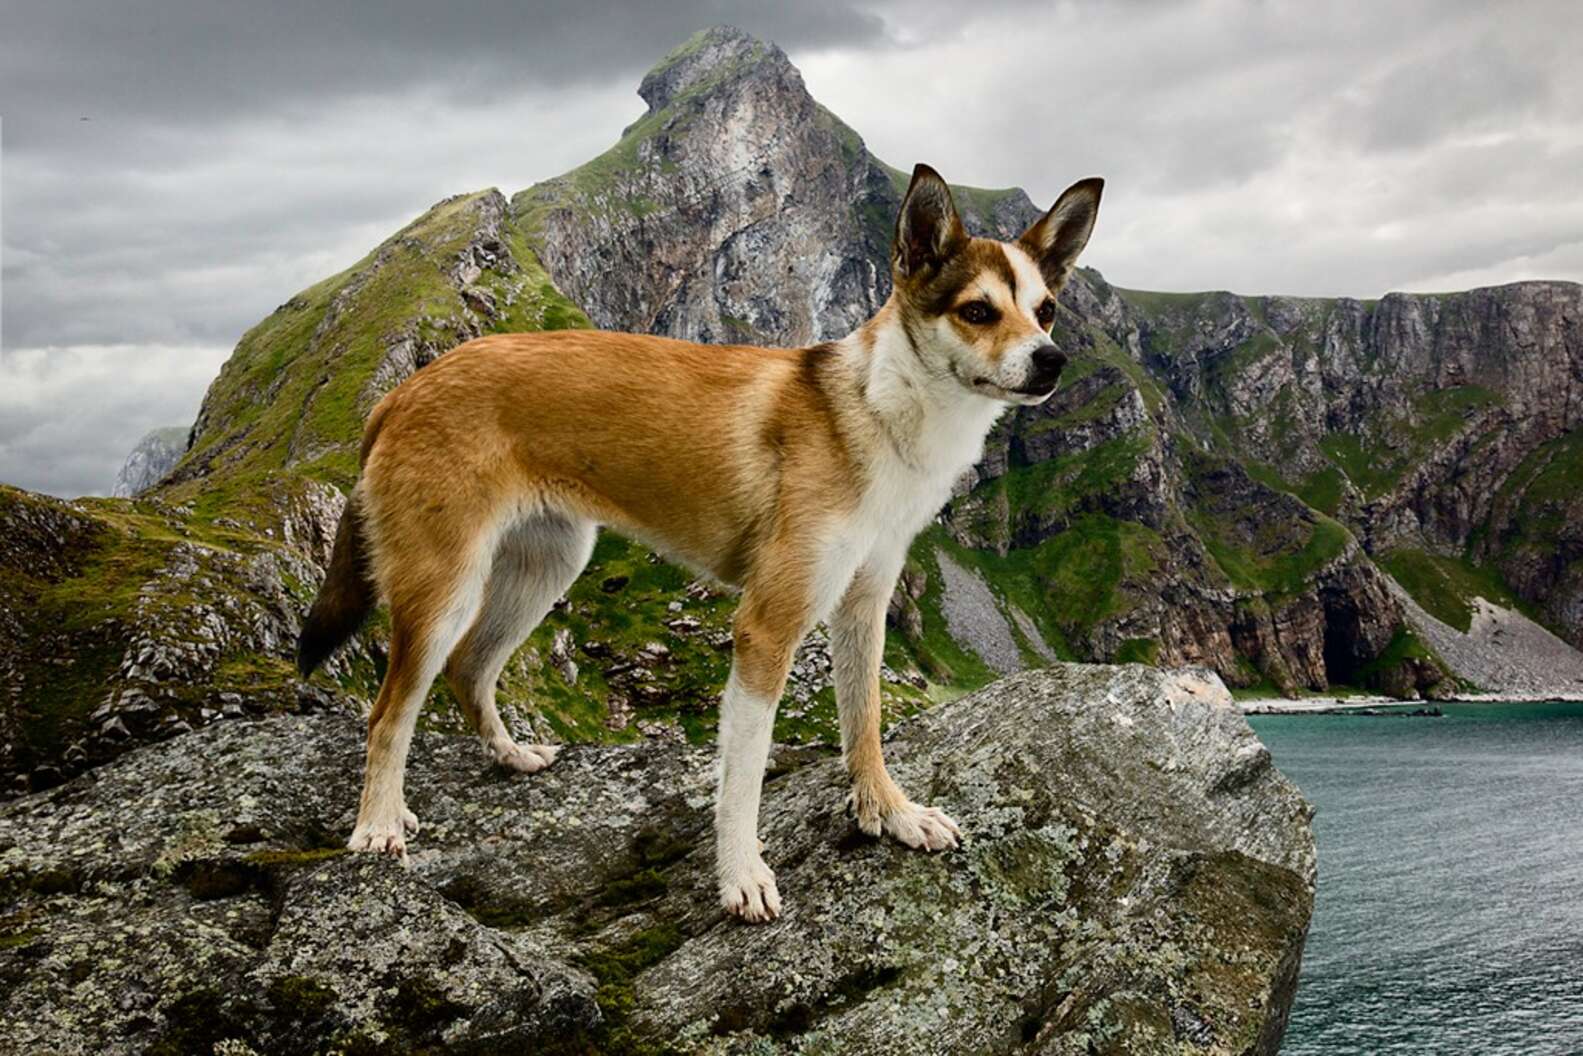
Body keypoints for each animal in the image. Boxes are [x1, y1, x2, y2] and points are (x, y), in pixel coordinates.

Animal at [297, 161, 1101, 918]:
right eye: (977, 311)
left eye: (1046, 310)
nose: (1051, 360)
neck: (873, 410)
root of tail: (405, 391)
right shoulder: (767, 627)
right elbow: (742, 777)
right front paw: (741, 876)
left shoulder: (862, 607)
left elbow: (864, 723)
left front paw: (890, 813)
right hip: (444, 585)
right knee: (389, 713)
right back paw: (379, 823)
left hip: (547, 565)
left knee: (468, 669)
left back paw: (509, 756)